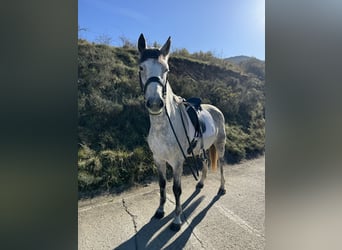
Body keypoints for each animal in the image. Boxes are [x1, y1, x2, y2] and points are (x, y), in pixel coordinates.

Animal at [138, 34, 226, 231]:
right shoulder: (159, 159)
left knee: (222, 165)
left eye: (166, 69)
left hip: (220, 145)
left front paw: (177, 220)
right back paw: (200, 183)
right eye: (141, 67)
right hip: (201, 149)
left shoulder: (177, 162)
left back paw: (222, 188)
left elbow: (176, 190)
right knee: (205, 163)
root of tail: (216, 109)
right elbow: (162, 185)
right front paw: (160, 210)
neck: (163, 127)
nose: (155, 103)